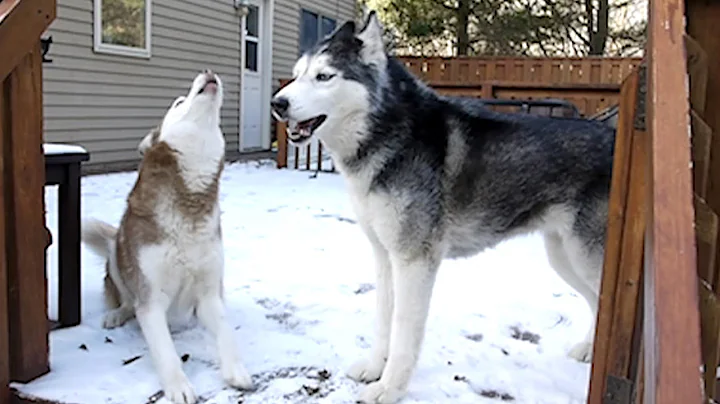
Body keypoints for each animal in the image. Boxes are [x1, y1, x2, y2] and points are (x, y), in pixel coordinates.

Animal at [82, 70, 253, 404]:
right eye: (178, 102)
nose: (209, 71)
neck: (189, 203)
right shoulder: (150, 299)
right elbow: (165, 351)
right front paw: (179, 387)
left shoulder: (208, 293)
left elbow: (226, 331)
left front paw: (236, 369)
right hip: (116, 253)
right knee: (124, 298)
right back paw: (116, 314)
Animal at [270, 11, 612, 402]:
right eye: (297, 74)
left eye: (324, 76)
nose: (278, 103)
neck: (390, 135)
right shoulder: (384, 255)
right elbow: (383, 319)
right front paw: (374, 369)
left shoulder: (414, 260)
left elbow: (403, 330)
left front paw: (389, 387)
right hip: (564, 257)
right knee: (598, 302)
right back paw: (588, 350)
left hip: (585, 257)